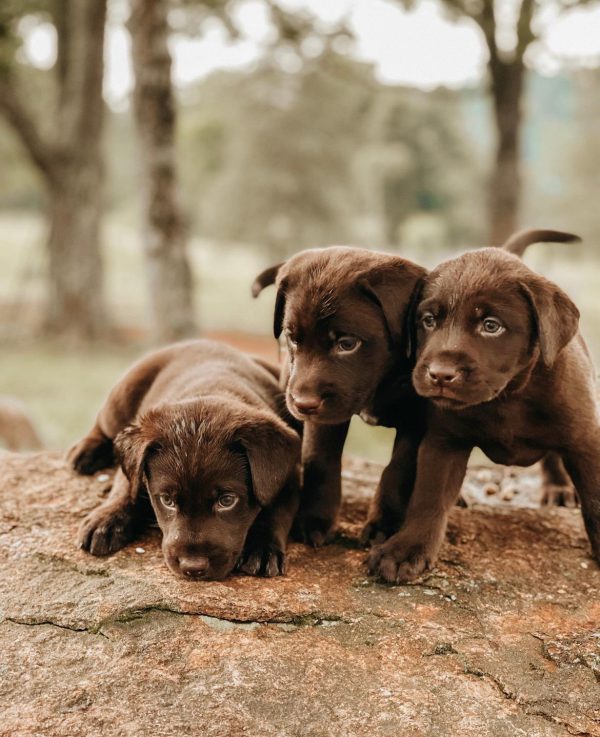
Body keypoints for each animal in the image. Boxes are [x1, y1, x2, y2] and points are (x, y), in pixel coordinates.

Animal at [69, 340, 300, 580]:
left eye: (227, 500)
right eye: (167, 500)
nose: (193, 567)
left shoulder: (287, 477)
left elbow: (276, 511)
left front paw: (262, 549)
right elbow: (125, 486)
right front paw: (106, 519)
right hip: (122, 397)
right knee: (103, 424)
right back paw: (86, 451)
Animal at [253, 244, 426, 544]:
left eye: (347, 344)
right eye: (292, 338)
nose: (303, 403)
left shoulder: (416, 414)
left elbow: (399, 469)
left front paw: (384, 525)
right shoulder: (323, 419)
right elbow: (320, 461)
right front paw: (314, 520)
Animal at [366, 229, 600, 580]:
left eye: (491, 326)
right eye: (428, 320)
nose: (440, 375)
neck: (509, 395)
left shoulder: (586, 439)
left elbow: (596, 499)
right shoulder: (444, 442)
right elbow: (429, 497)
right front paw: (407, 548)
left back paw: (558, 487)